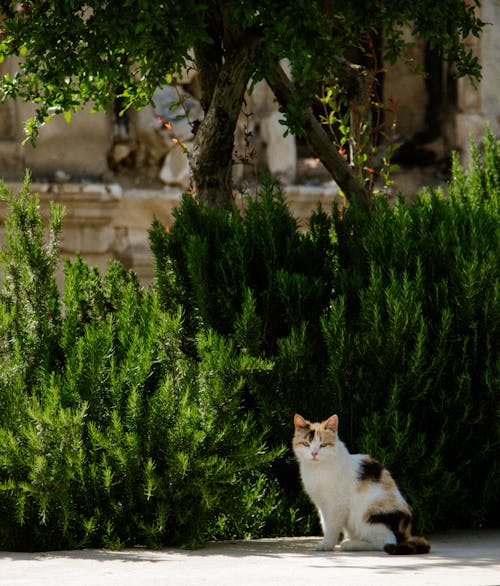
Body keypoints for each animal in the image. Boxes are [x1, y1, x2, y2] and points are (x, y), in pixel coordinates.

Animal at [292, 410, 430, 552]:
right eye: (306, 444)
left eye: (323, 445)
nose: (314, 454)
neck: (318, 469)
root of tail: (406, 533)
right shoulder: (322, 505)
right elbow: (325, 524)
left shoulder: (337, 504)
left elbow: (332, 526)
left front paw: (327, 544)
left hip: (367, 515)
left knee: (385, 541)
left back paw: (350, 544)